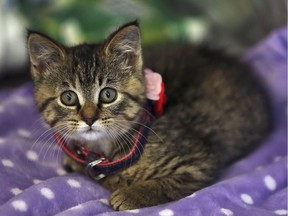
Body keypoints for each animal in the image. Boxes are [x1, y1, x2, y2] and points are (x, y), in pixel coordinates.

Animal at [26, 21, 270, 210]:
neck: (104, 151)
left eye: (108, 94)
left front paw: (130, 195)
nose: (89, 118)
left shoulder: (198, 161)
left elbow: (165, 185)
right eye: (68, 97)